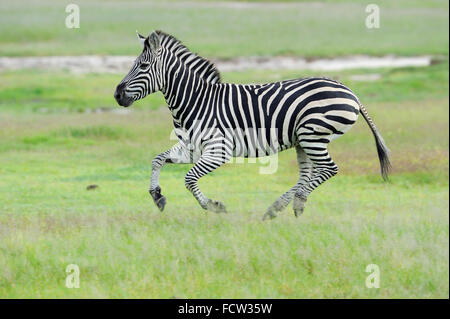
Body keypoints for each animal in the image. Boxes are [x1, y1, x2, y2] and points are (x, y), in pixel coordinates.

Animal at [113, 30, 390, 220]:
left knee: (328, 169)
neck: (197, 100)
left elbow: (189, 179)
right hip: (304, 140)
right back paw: (280, 207)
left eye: (143, 66)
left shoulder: (219, 151)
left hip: (313, 135)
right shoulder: (191, 148)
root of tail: (350, 91)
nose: (117, 95)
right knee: (307, 175)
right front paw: (157, 196)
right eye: (133, 64)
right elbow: (157, 159)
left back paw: (296, 201)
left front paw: (213, 206)